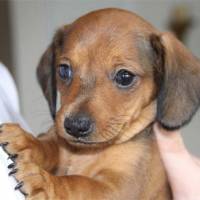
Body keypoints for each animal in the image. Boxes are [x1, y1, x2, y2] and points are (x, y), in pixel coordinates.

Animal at [0, 7, 200, 198]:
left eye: (125, 77)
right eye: (64, 70)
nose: (75, 126)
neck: (85, 153)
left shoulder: (119, 188)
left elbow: (78, 183)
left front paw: (44, 182)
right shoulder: (60, 144)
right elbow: (50, 145)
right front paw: (27, 142)